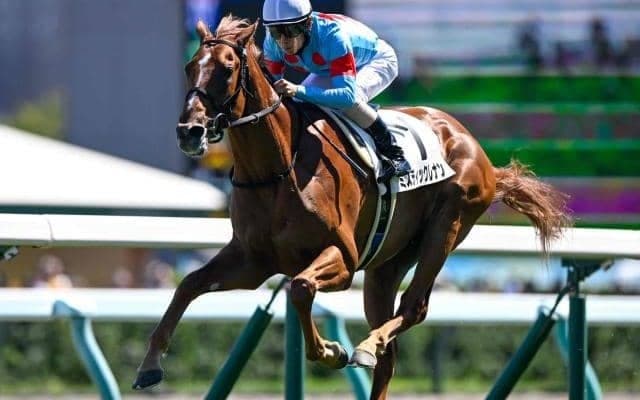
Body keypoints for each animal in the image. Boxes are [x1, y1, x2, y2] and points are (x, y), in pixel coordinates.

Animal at [133, 16, 571, 399]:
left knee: (414, 308)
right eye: (190, 67)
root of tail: (475, 148)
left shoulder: (342, 258)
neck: (277, 169)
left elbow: (301, 288)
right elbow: (189, 284)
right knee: (389, 354)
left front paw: (331, 350)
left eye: (226, 69)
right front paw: (150, 365)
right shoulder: (253, 260)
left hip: (447, 225)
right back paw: (372, 349)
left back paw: (364, 345)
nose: (189, 132)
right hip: (387, 262)